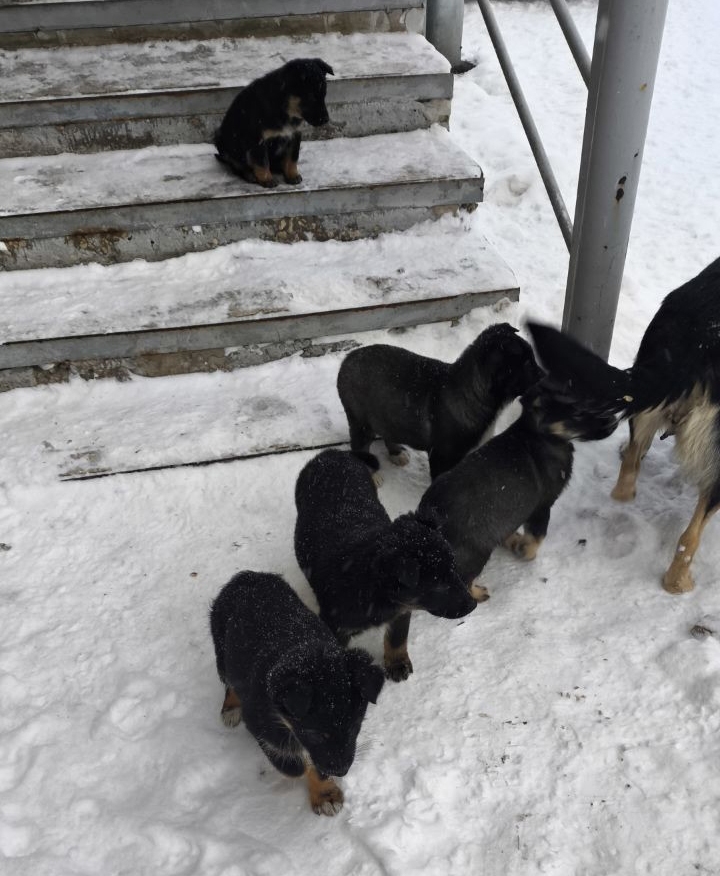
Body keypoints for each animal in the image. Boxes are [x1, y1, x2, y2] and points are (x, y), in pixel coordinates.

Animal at [210, 570, 384, 816]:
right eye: (314, 733)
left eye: (354, 727)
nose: (342, 771)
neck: (299, 646)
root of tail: (246, 576)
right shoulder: (260, 721)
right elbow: (293, 761)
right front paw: (302, 771)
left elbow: (315, 762)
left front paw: (324, 793)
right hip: (222, 648)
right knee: (228, 680)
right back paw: (231, 707)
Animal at [214, 58, 334, 188]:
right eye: (310, 97)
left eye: (324, 95)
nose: (326, 119)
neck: (284, 109)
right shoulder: (258, 139)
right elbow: (262, 162)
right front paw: (267, 179)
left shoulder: (294, 135)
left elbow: (292, 158)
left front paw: (292, 175)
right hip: (221, 140)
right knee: (236, 165)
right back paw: (249, 174)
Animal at [294, 449, 479, 683]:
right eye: (438, 585)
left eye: (454, 570)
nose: (473, 605)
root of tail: (331, 453)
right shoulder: (334, 624)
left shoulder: (402, 609)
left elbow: (397, 638)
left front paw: (397, 663)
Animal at [336, 323, 543, 478]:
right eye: (527, 364)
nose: (545, 376)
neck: (474, 392)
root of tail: (347, 358)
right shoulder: (441, 456)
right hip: (360, 420)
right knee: (360, 445)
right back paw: (372, 474)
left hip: (386, 413)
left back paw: (396, 453)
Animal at [417, 385, 577, 585]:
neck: (533, 431)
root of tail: (429, 515)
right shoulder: (543, 505)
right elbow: (537, 534)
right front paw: (527, 553)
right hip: (474, 555)